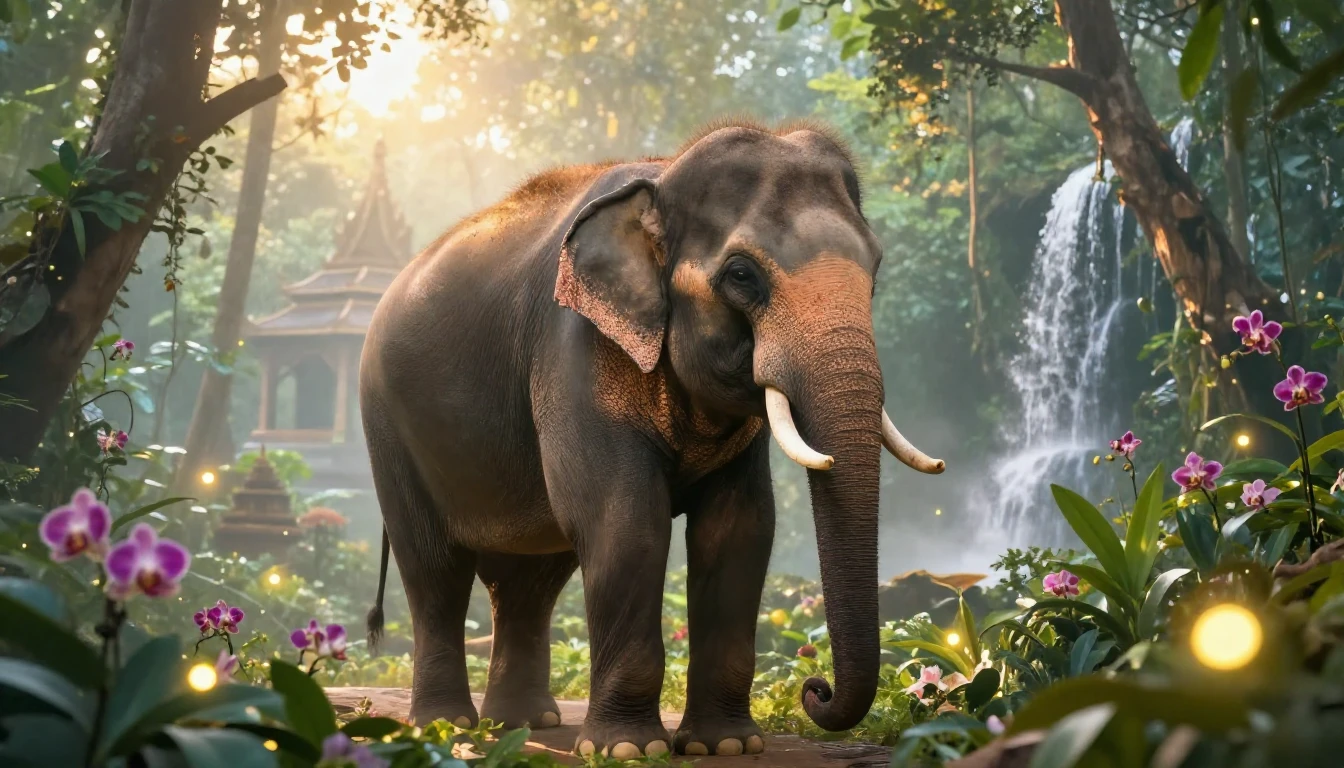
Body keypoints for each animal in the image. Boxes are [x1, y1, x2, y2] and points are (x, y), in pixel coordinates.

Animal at [360, 119, 944, 759]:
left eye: (876, 268)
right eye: (742, 275)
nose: (816, 689)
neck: (663, 176)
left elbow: (740, 529)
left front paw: (726, 745)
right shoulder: (576, 348)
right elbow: (623, 520)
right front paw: (627, 750)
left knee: (528, 579)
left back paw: (523, 722)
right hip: (388, 427)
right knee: (435, 568)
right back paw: (447, 726)